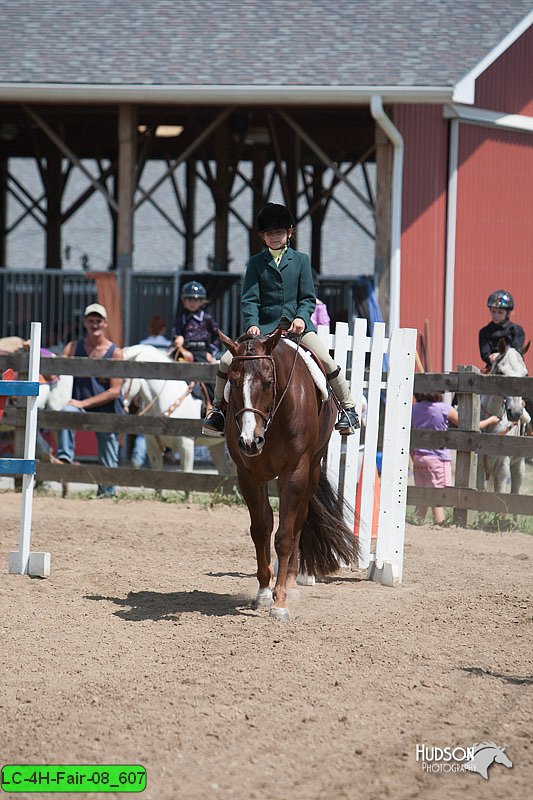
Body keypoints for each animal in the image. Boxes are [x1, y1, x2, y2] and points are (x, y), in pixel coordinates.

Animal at [218, 328, 360, 620]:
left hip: (311, 471)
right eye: (233, 382)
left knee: (298, 523)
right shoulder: (249, 475)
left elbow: (284, 535)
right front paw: (263, 592)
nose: (250, 442)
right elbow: (261, 530)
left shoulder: (294, 472)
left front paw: (280, 601)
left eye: (268, 382)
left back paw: (292, 584)